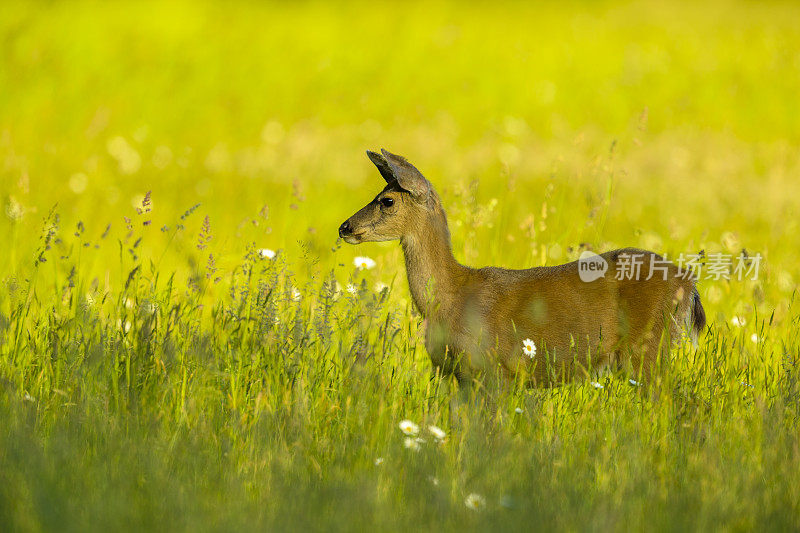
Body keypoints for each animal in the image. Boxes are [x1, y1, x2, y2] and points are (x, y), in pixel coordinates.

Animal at [338, 149, 708, 390]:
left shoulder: (493, 370)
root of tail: (689, 283)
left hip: (649, 346)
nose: (344, 227)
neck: (451, 296)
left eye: (387, 200)